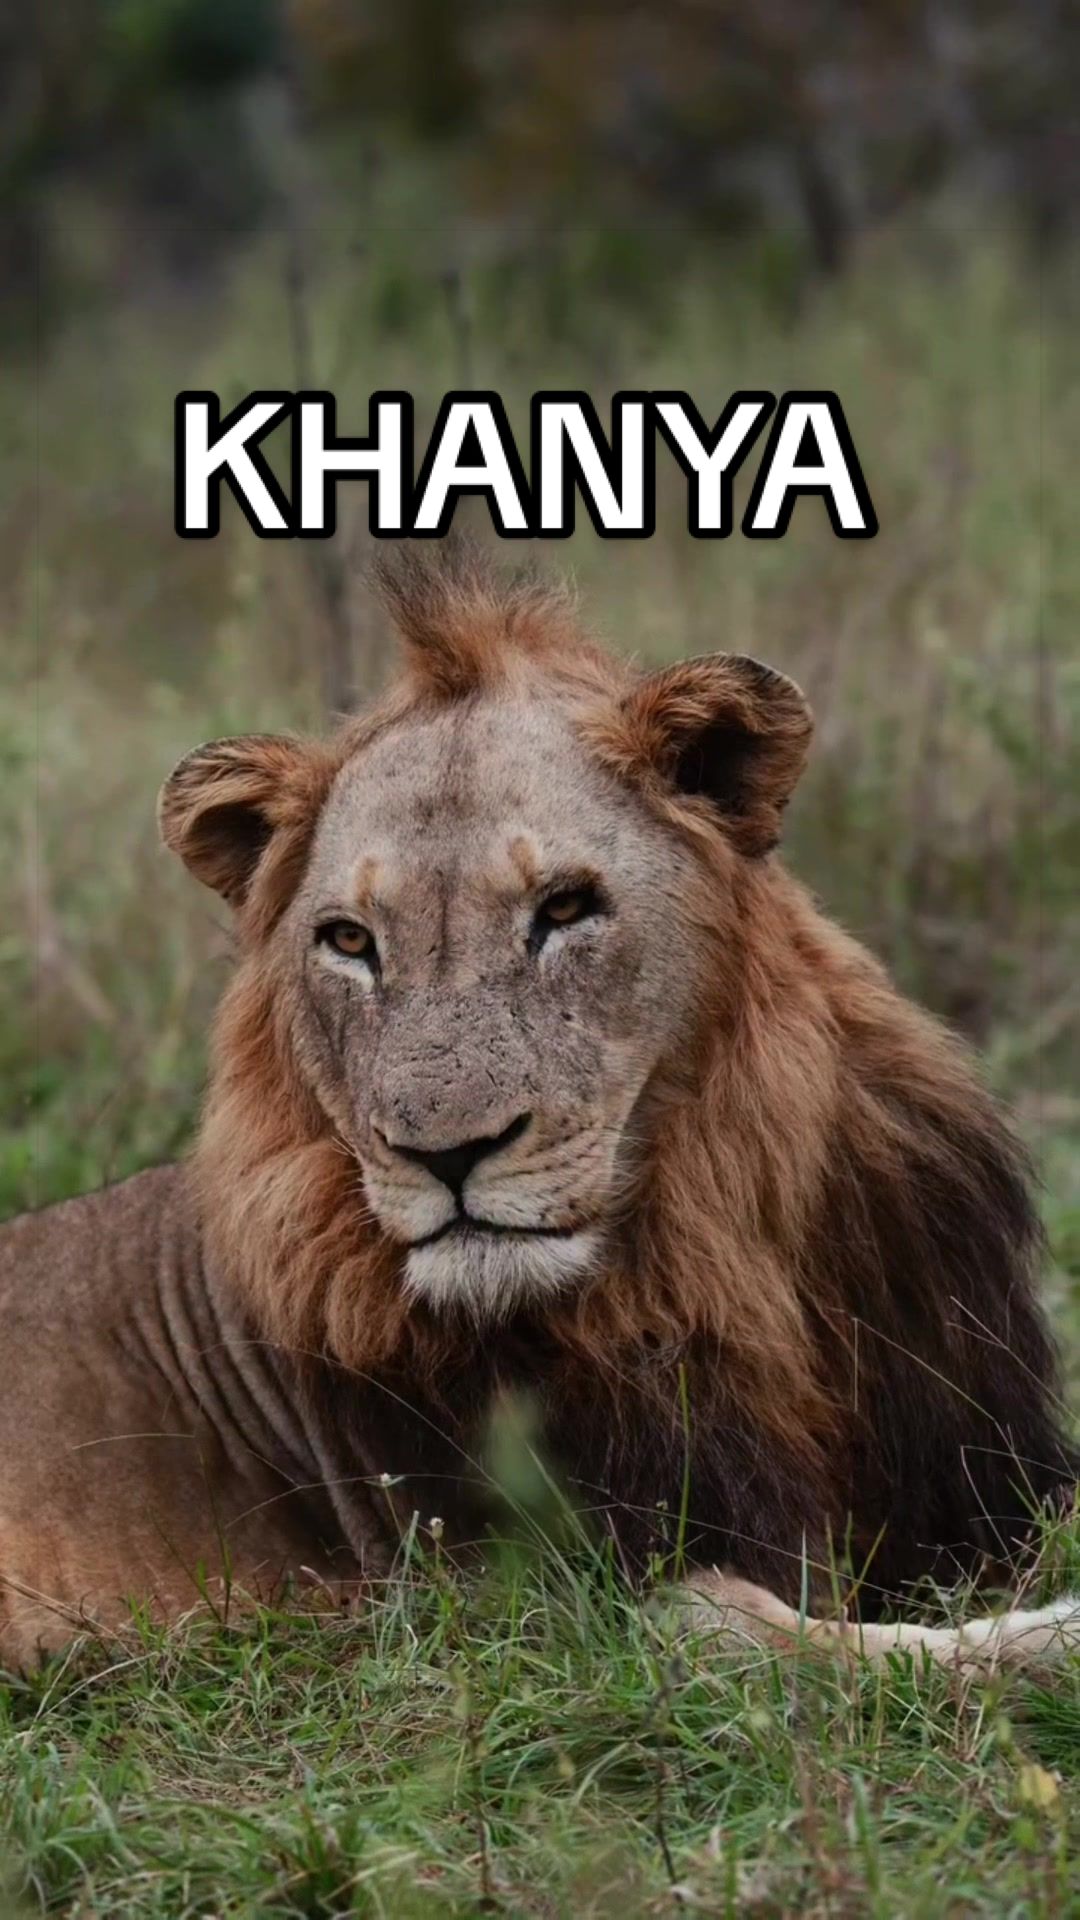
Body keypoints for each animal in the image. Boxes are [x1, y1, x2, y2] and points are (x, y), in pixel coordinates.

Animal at [1, 545, 1077, 1673]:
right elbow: (767, 1627)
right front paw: (1050, 1634)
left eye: (563, 908)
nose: (445, 1153)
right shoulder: (536, 1602)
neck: (709, 1250)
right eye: (350, 940)